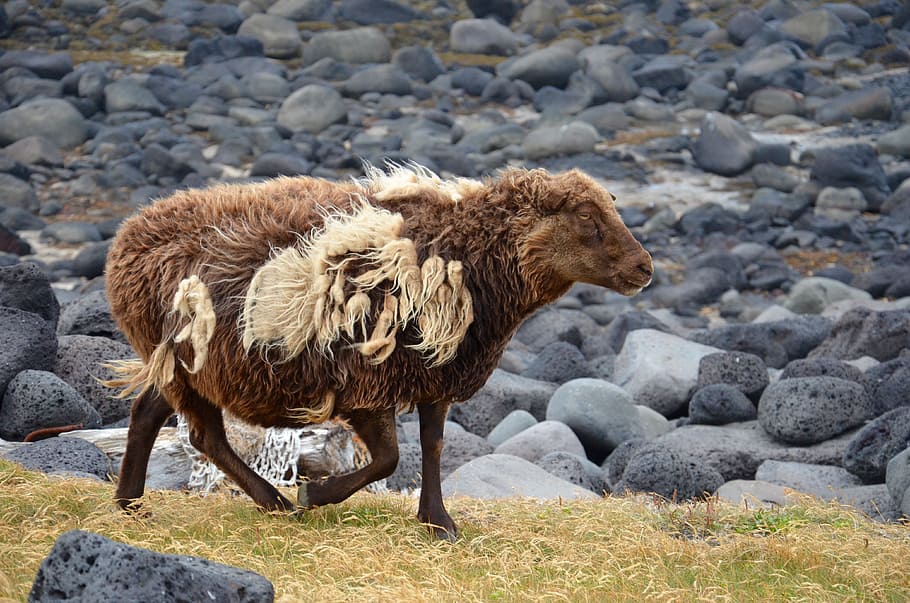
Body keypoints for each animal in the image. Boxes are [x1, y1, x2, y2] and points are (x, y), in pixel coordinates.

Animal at [104, 164, 653, 540]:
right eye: (585, 214)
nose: (645, 268)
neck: (464, 251)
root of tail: (127, 236)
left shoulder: (436, 372)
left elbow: (432, 446)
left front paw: (438, 523)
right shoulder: (367, 380)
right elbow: (389, 459)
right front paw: (316, 494)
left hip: (182, 362)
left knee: (150, 412)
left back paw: (131, 502)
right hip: (188, 358)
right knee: (203, 435)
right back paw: (273, 501)